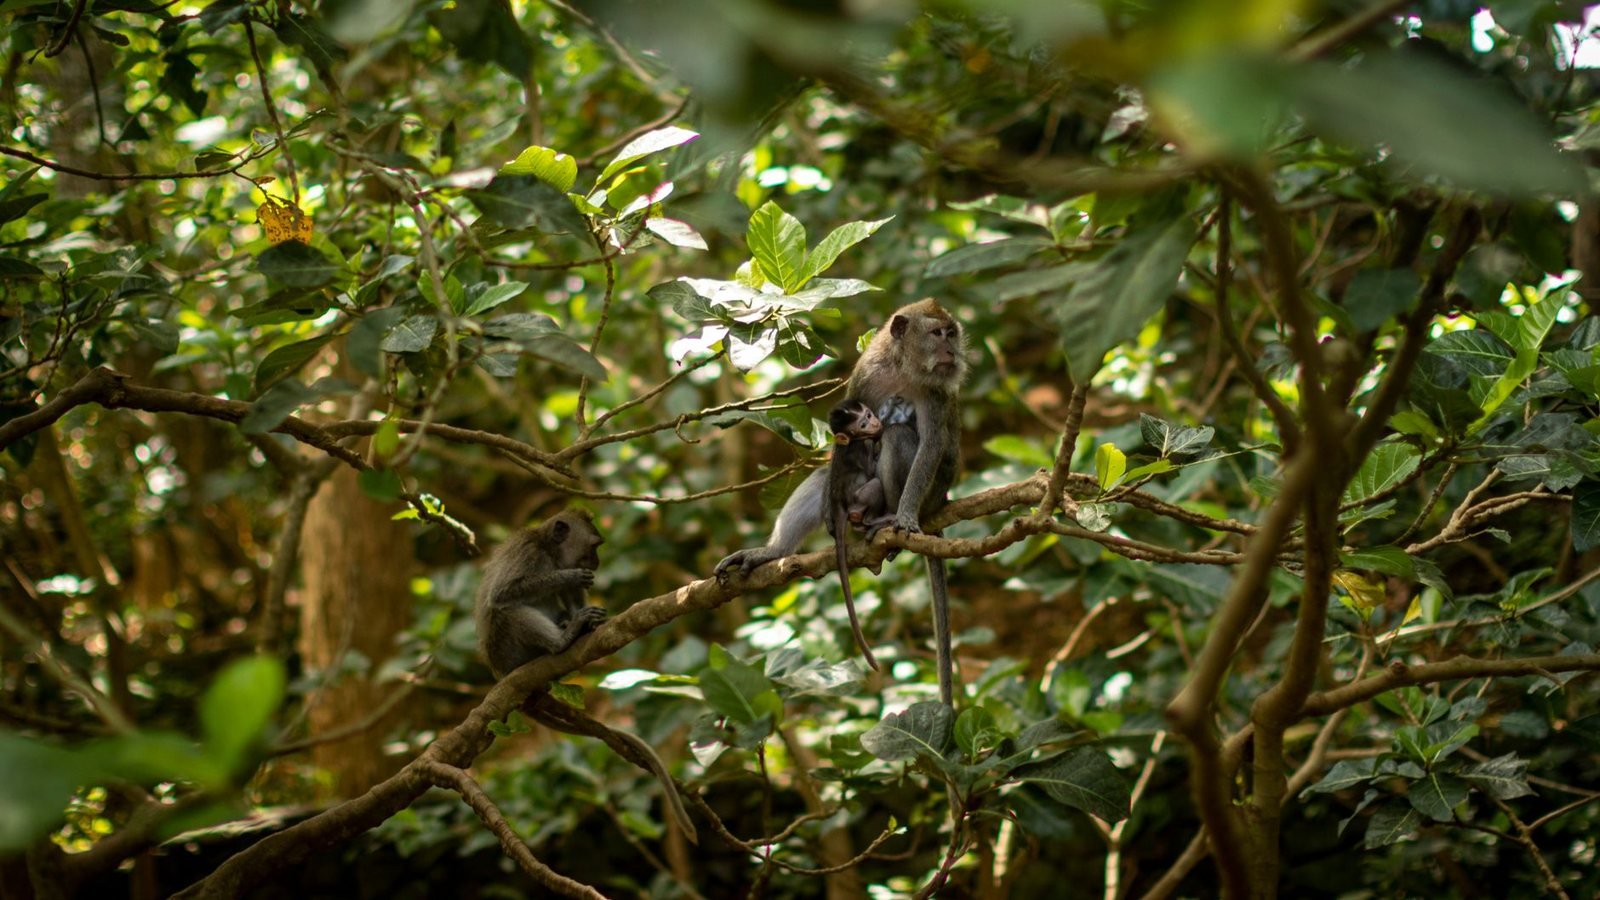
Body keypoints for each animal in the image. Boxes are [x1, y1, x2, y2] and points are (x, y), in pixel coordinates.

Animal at [477, 510, 698, 844]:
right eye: (594, 546)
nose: (596, 562)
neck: (550, 552)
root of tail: (500, 672)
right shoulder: (530, 555)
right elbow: (504, 593)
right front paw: (567, 578)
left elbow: (571, 598)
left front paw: (590, 621)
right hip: (507, 650)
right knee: (508, 611)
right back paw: (562, 640)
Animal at [717, 299, 968, 705]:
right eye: (936, 333)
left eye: (951, 333)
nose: (951, 351)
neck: (902, 366)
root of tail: (942, 500)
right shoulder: (865, 372)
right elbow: (839, 447)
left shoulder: (935, 393)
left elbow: (930, 446)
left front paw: (906, 517)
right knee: (825, 478)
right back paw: (775, 551)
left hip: (931, 494)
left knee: (898, 437)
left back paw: (889, 521)